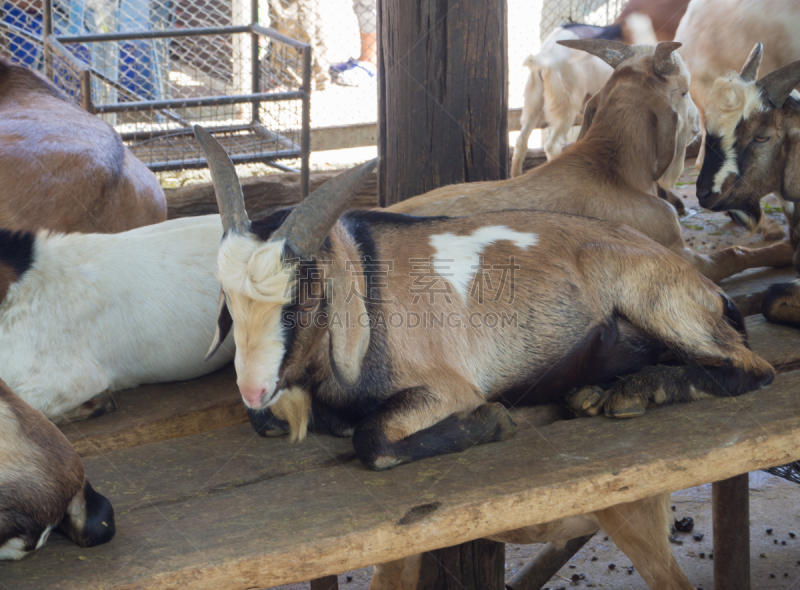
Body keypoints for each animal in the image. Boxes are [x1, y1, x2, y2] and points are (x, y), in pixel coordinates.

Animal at [390, 39, 792, 284]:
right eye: (683, 91)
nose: (696, 126)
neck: (610, 168)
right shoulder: (679, 255)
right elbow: (734, 254)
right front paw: (786, 250)